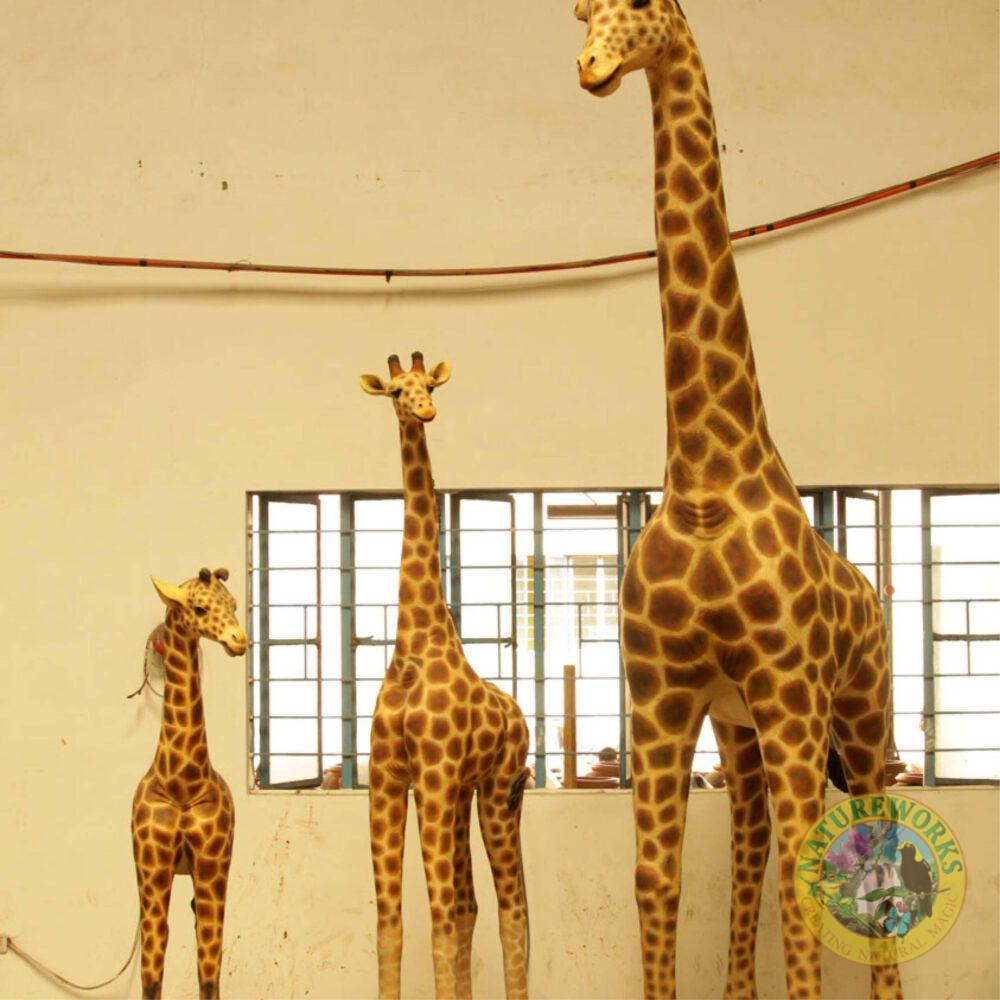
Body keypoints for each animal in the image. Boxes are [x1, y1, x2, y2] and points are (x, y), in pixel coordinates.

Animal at [131, 568, 247, 999]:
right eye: (198, 608)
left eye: (233, 604)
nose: (239, 639)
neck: (182, 781)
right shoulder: (152, 870)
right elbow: (151, 971)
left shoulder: (213, 867)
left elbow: (209, 967)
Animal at [360, 352, 531, 1000]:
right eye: (396, 390)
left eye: (430, 385)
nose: (425, 410)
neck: (413, 644)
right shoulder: (389, 777)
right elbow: (392, 922)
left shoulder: (431, 778)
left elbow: (438, 917)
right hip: (464, 793)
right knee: (473, 905)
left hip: (499, 792)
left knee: (512, 908)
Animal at [574, 3, 899, 998]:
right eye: (582, 13)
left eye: (640, 11)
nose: (590, 67)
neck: (707, 480)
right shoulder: (665, 695)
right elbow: (659, 878)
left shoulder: (792, 690)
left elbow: (805, 871)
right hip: (743, 729)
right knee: (752, 839)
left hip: (858, 712)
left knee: (865, 840)